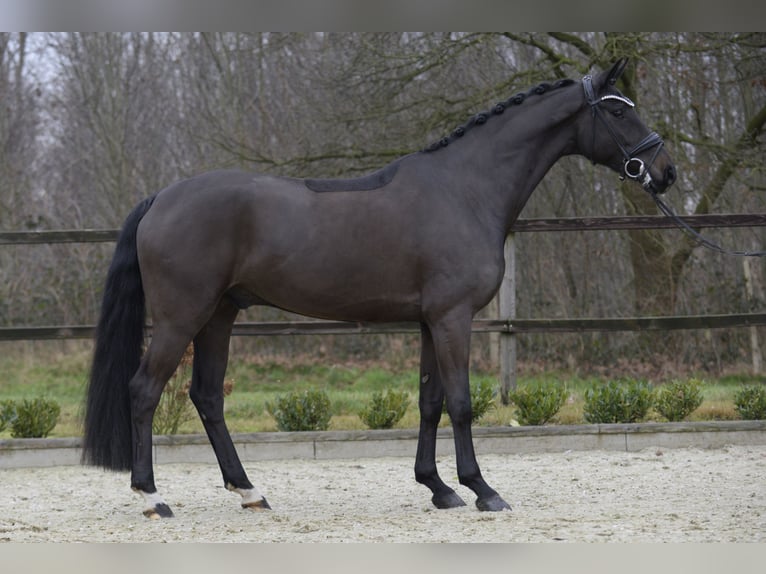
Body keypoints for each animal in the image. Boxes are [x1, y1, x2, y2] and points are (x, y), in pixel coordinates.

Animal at [81, 60, 676, 520]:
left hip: (219, 315)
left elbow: (431, 401)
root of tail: (161, 198)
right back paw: (152, 497)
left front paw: (438, 489)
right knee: (144, 391)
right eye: (618, 111)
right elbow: (462, 403)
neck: (466, 189)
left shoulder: (430, 321)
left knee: (206, 396)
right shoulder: (454, 317)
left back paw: (250, 493)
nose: (665, 171)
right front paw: (482, 490)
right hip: (183, 317)